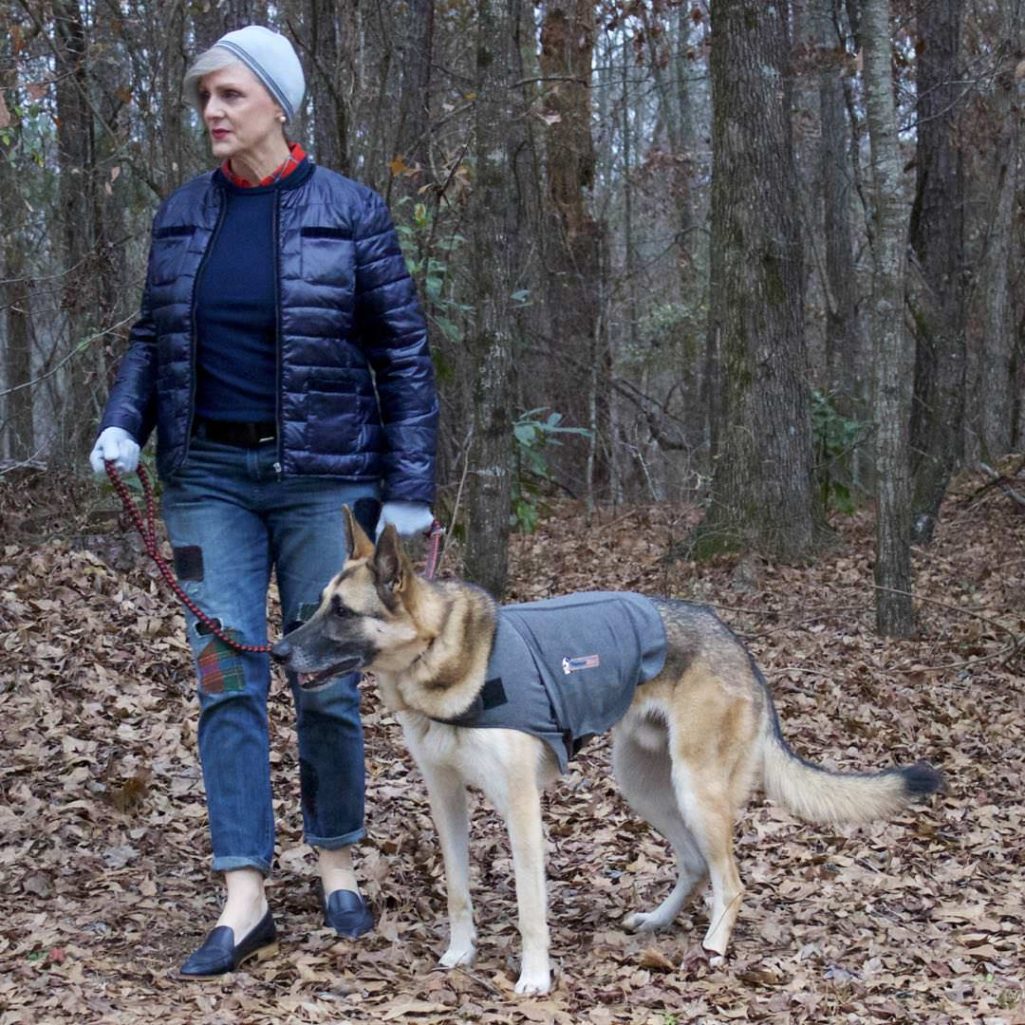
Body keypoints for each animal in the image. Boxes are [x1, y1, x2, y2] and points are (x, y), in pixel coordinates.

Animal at [270, 510, 938, 992]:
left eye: (341, 612)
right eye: (319, 604)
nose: (276, 652)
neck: (442, 656)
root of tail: (737, 643)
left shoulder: (521, 810)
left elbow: (531, 907)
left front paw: (534, 978)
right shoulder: (447, 801)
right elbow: (459, 890)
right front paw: (460, 952)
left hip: (696, 790)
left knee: (731, 881)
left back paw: (713, 948)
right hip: (643, 785)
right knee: (695, 865)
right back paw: (659, 923)